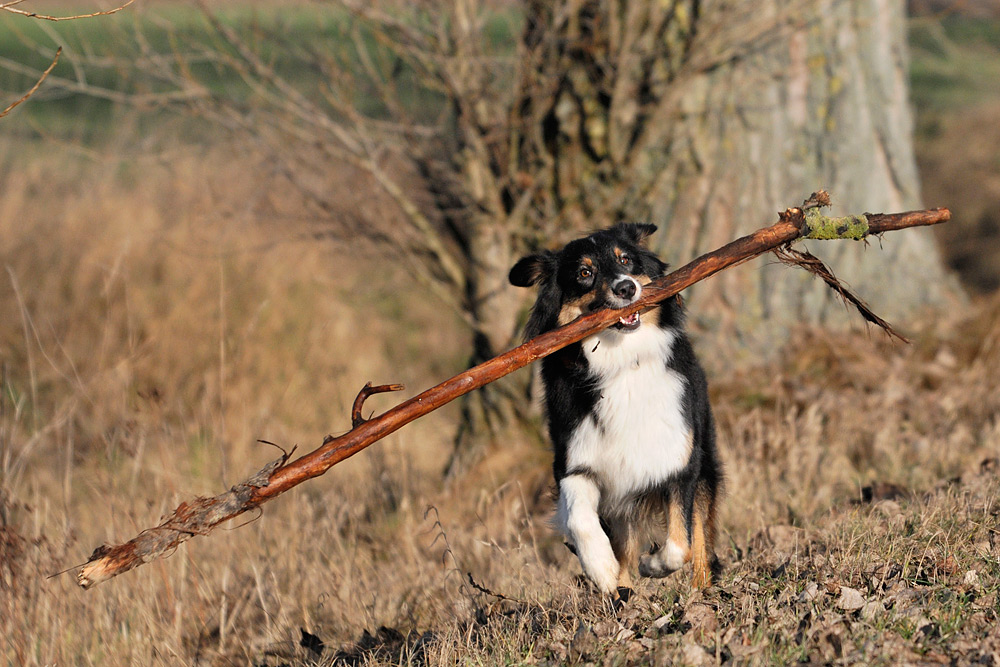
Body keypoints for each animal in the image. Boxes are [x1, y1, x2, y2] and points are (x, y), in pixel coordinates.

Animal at [512, 224, 724, 600]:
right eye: (584, 273)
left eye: (625, 260)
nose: (626, 288)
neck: (623, 361)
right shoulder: (574, 460)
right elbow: (580, 518)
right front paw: (602, 569)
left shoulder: (679, 460)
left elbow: (679, 543)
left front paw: (652, 564)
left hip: (703, 462)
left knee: (698, 538)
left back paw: (701, 592)